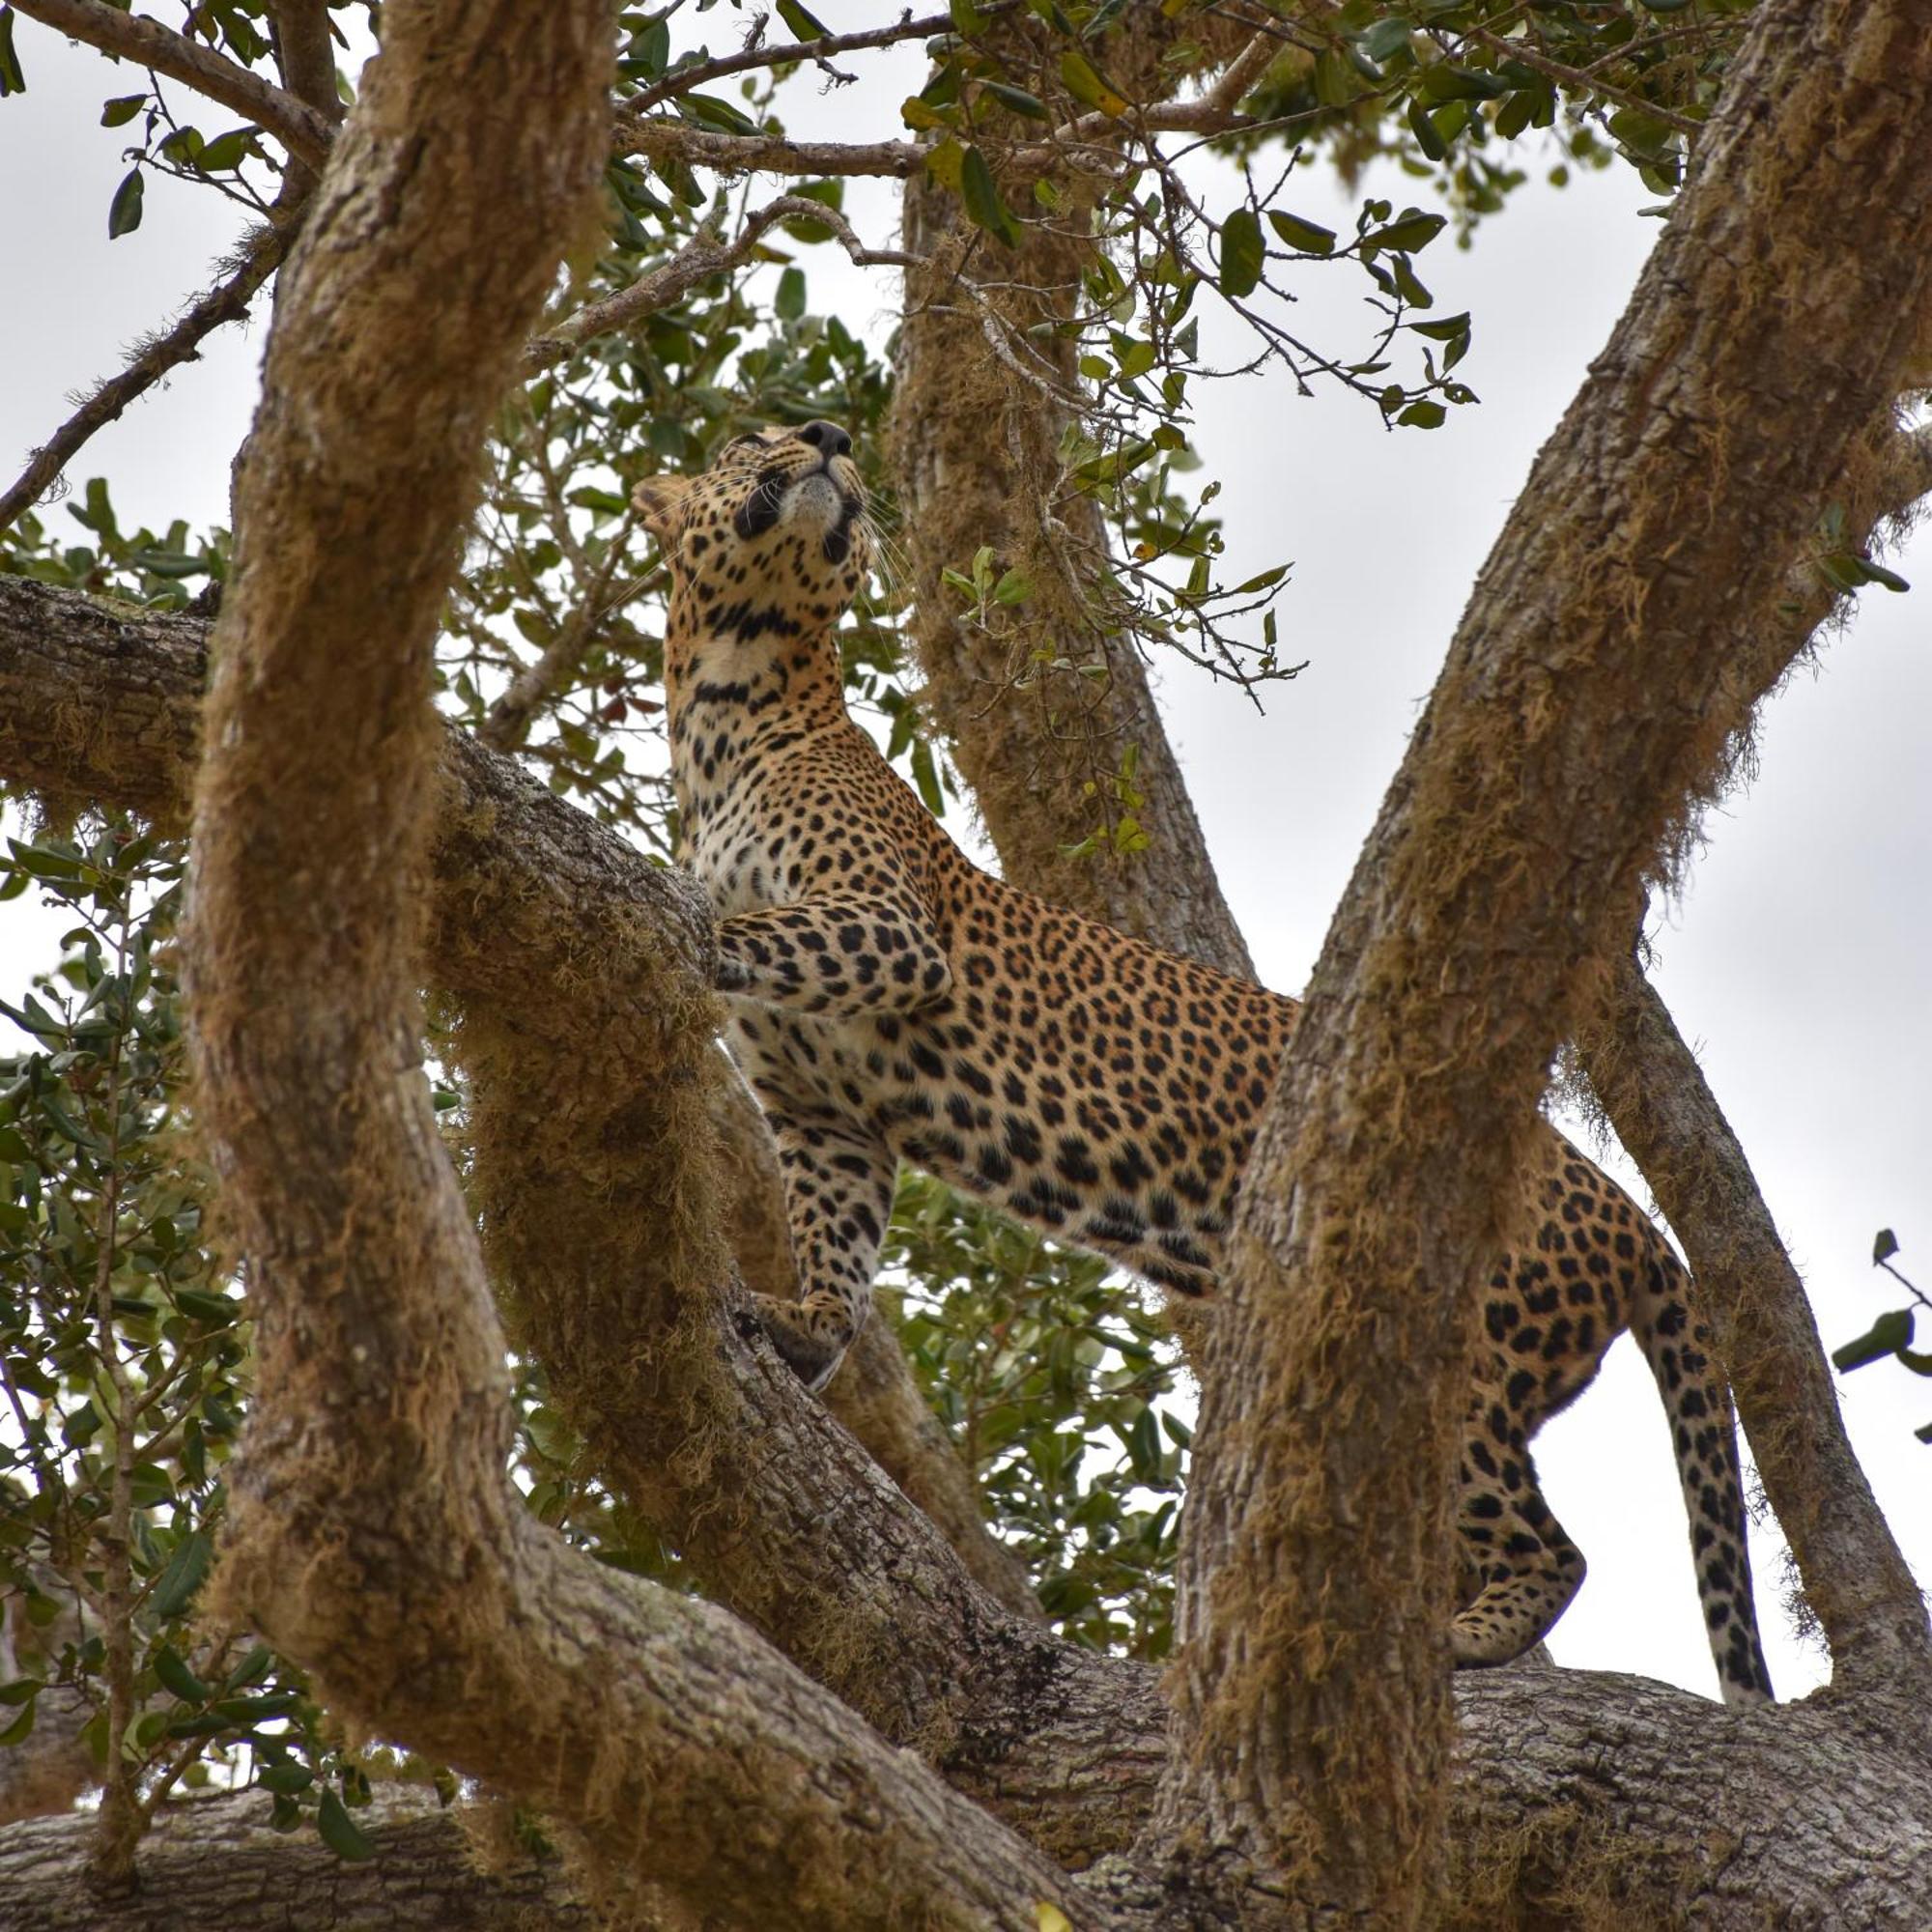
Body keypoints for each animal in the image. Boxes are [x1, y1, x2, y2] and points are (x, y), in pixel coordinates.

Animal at [638, 419, 1777, 1708]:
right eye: (750, 436)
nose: (830, 437)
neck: (730, 701)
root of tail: (1625, 1209)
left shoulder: (888, 923)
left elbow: (757, 924)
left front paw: (672, 902)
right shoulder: (821, 1106)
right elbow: (834, 1230)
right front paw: (806, 1325)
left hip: (1464, 1349)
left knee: (1553, 1544)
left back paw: (1467, 1637)